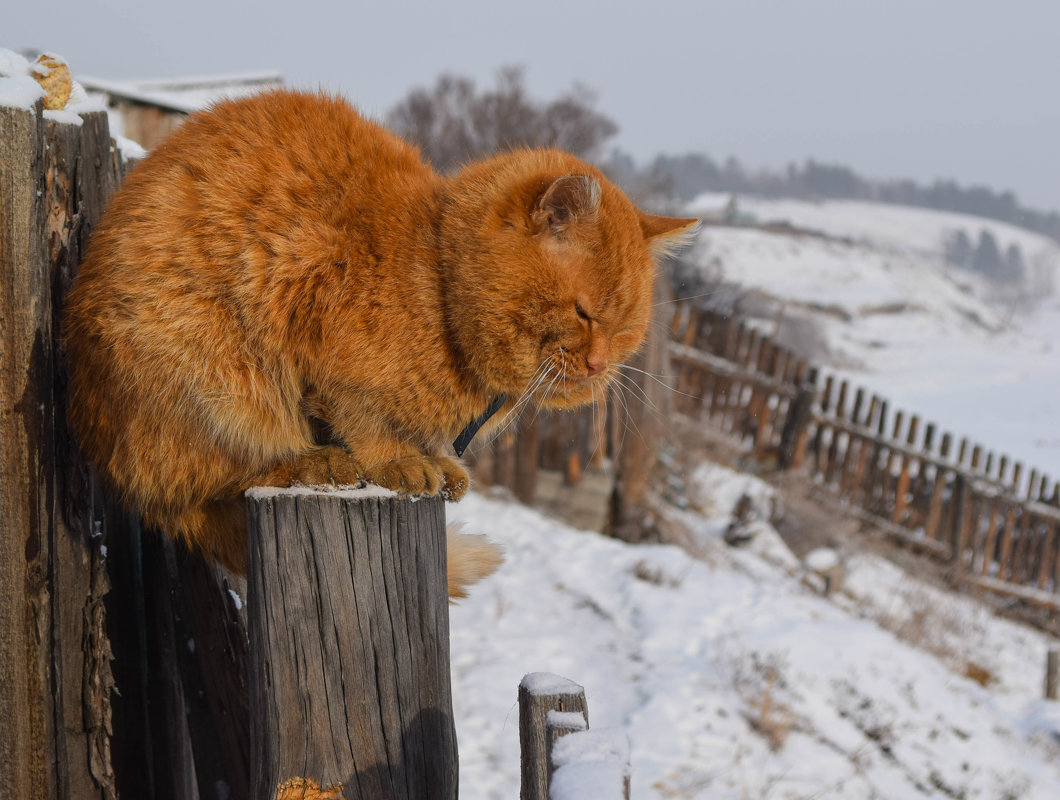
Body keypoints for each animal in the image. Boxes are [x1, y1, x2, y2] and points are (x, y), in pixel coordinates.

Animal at [62, 90, 699, 593]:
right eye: (584, 314)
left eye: (625, 330)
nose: (598, 364)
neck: (437, 281)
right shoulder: (326, 347)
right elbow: (366, 422)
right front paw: (398, 461)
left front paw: (440, 462)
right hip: (210, 378)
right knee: (215, 477)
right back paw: (314, 462)